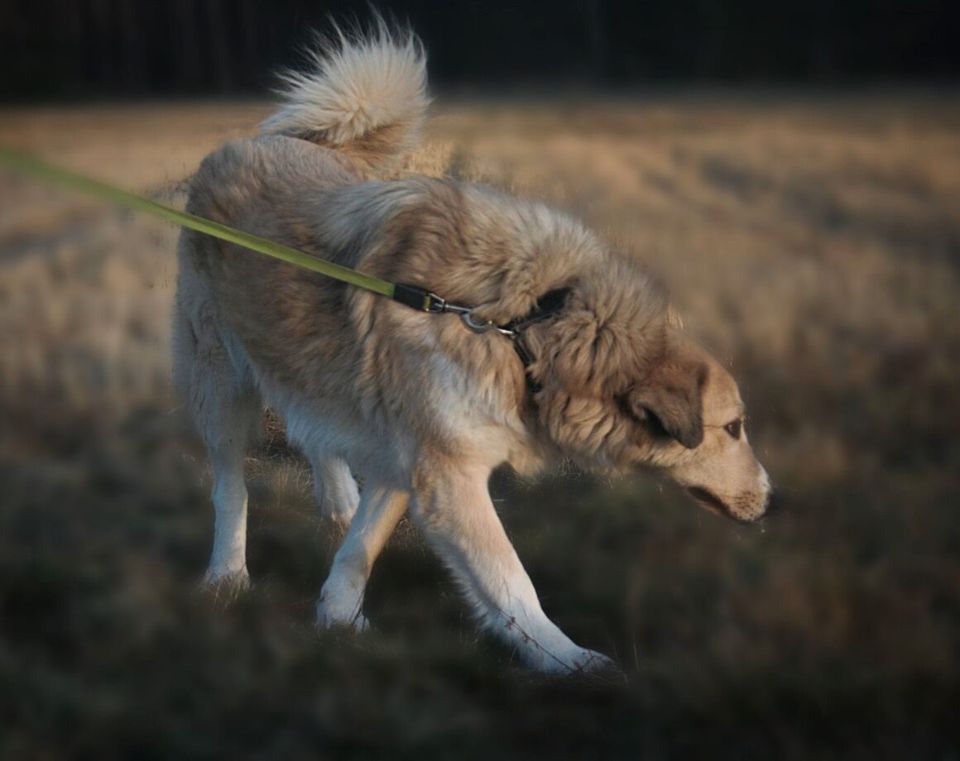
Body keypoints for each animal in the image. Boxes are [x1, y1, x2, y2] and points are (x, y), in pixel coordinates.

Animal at [172, 26, 772, 672]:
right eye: (733, 428)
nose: (774, 500)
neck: (529, 322)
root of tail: (258, 142)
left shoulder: (410, 453)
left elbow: (363, 543)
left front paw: (337, 615)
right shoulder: (448, 472)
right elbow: (510, 581)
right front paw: (569, 662)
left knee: (316, 433)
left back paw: (335, 499)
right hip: (220, 382)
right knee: (231, 486)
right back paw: (227, 575)